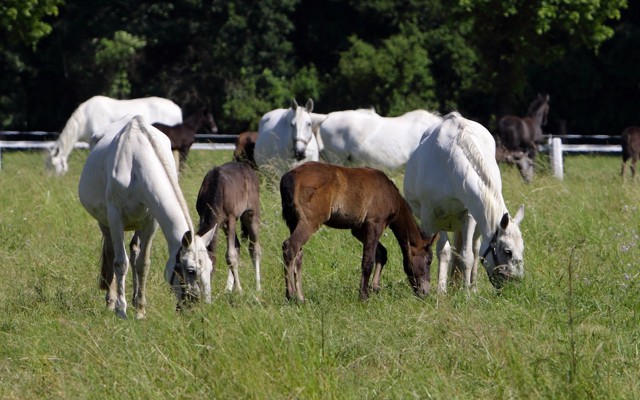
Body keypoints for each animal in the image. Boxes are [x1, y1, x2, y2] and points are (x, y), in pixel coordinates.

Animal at [78, 115, 215, 319]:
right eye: (191, 270)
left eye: (211, 268)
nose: (199, 308)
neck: (136, 163)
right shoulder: (115, 217)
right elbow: (120, 262)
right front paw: (121, 310)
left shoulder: (151, 222)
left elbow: (143, 263)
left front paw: (140, 310)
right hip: (104, 222)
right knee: (111, 254)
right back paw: (111, 301)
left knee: (134, 251)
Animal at [195, 161, 262, 292]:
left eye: (208, 267)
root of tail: (249, 168)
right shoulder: (203, 216)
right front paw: (234, 288)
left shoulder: (230, 218)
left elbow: (230, 255)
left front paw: (239, 290)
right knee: (237, 246)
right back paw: (228, 288)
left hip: (250, 214)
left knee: (254, 248)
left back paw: (258, 287)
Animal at [280, 162, 436, 302]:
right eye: (429, 261)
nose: (425, 292)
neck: (390, 194)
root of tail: (290, 175)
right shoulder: (375, 223)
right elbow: (368, 261)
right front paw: (363, 296)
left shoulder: (358, 229)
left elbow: (382, 253)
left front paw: (375, 287)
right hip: (309, 221)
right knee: (290, 247)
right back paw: (291, 296)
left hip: (293, 222)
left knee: (298, 255)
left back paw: (301, 297)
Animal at [404, 112, 525, 293]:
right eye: (507, 251)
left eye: (522, 249)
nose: (515, 286)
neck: (450, 166)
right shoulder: (431, 217)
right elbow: (441, 252)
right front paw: (440, 292)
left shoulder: (469, 215)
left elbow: (467, 256)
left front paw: (467, 293)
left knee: (474, 248)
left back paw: (472, 287)